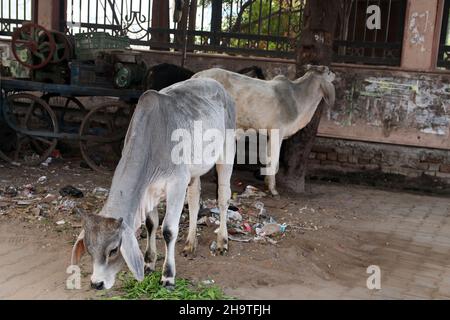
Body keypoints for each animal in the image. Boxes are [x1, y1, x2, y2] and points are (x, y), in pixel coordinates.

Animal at [70, 78, 236, 290]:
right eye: (89, 250)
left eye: (113, 250)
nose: (96, 284)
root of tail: (216, 83)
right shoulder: (149, 191)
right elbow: (151, 224)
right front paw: (149, 263)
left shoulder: (176, 184)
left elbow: (168, 230)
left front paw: (168, 276)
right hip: (194, 171)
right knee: (194, 199)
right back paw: (190, 243)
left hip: (226, 151)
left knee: (223, 197)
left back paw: (222, 241)